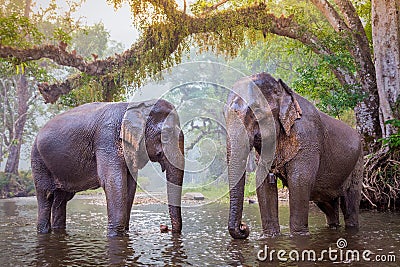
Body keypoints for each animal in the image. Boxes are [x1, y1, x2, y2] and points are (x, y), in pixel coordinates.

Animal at [31, 99, 184, 238]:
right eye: (166, 135)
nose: (165, 228)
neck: (140, 104)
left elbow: (130, 186)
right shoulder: (107, 139)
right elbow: (113, 182)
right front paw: (114, 235)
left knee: (61, 199)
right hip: (38, 160)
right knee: (46, 195)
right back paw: (43, 230)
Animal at [223, 73, 364, 239]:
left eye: (257, 110)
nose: (244, 227)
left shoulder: (308, 139)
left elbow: (299, 181)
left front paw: (299, 236)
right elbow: (262, 182)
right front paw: (271, 236)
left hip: (358, 163)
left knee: (350, 204)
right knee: (328, 206)